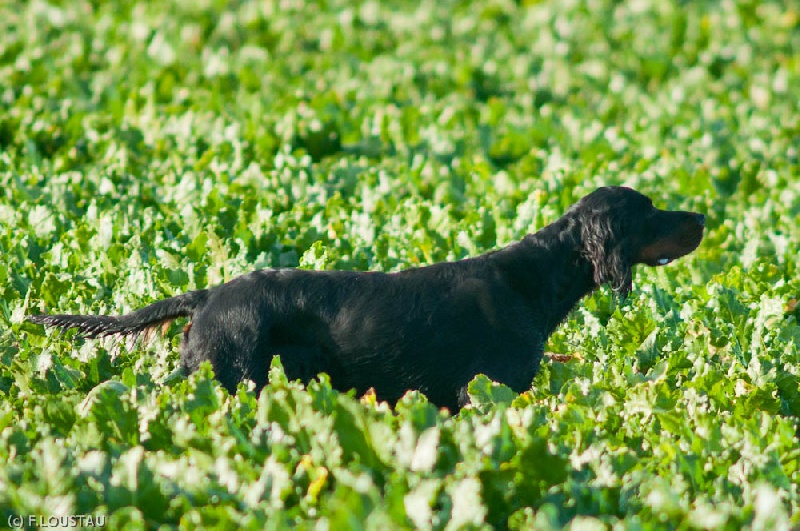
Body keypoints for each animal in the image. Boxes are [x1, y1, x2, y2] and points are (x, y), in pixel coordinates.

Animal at [25, 187, 704, 412]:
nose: (701, 218)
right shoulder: (489, 389)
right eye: (648, 210)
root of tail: (211, 294)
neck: (532, 279)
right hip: (229, 375)